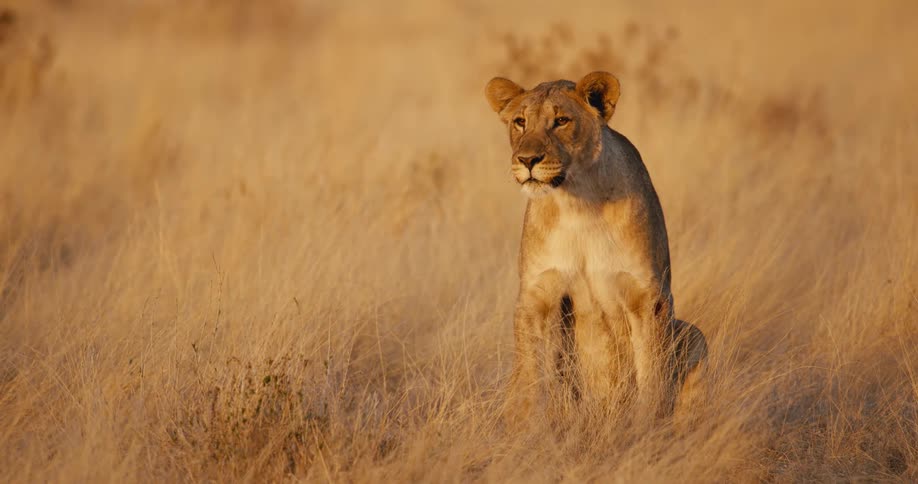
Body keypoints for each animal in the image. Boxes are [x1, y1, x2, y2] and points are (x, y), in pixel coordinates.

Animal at [485, 71, 707, 426]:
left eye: (561, 121)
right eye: (520, 122)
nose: (527, 160)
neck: (578, 203)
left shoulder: (648, 296)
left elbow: (652, 372)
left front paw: (648, 425)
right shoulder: (536, 293)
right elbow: (530, 372)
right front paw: (526, 427)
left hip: (694, 333)